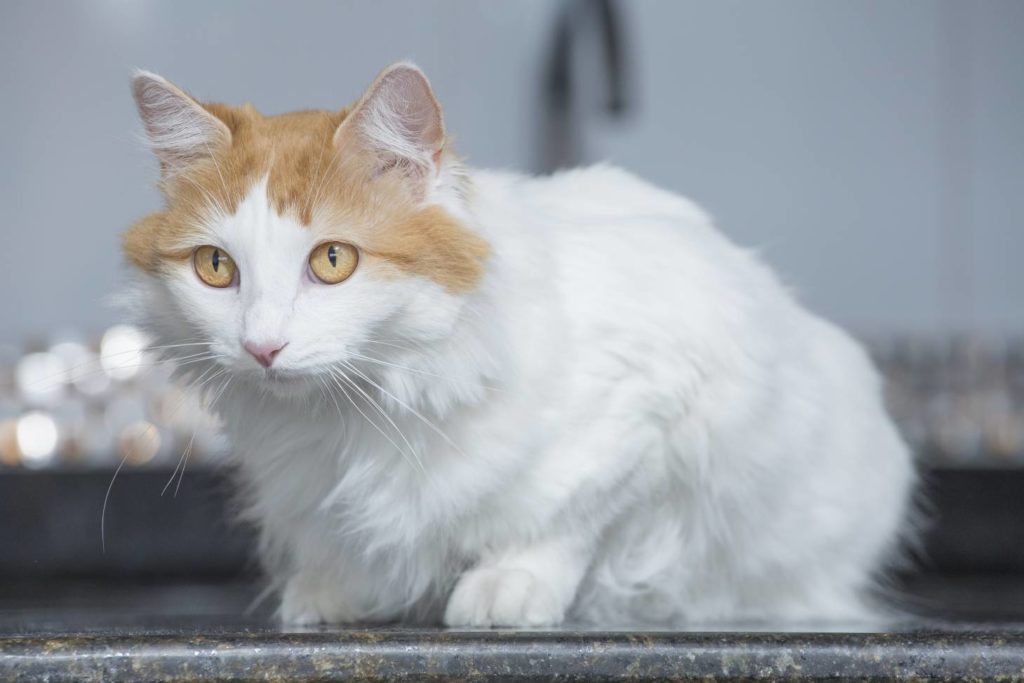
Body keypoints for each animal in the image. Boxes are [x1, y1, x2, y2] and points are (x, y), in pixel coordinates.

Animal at [123, 61, 917, 626]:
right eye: (216, 267)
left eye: (333, 260)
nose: (262, 347)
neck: (359, 412)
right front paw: (338, 588)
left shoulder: (655, 401)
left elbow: (566, 518)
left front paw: (508, 585)